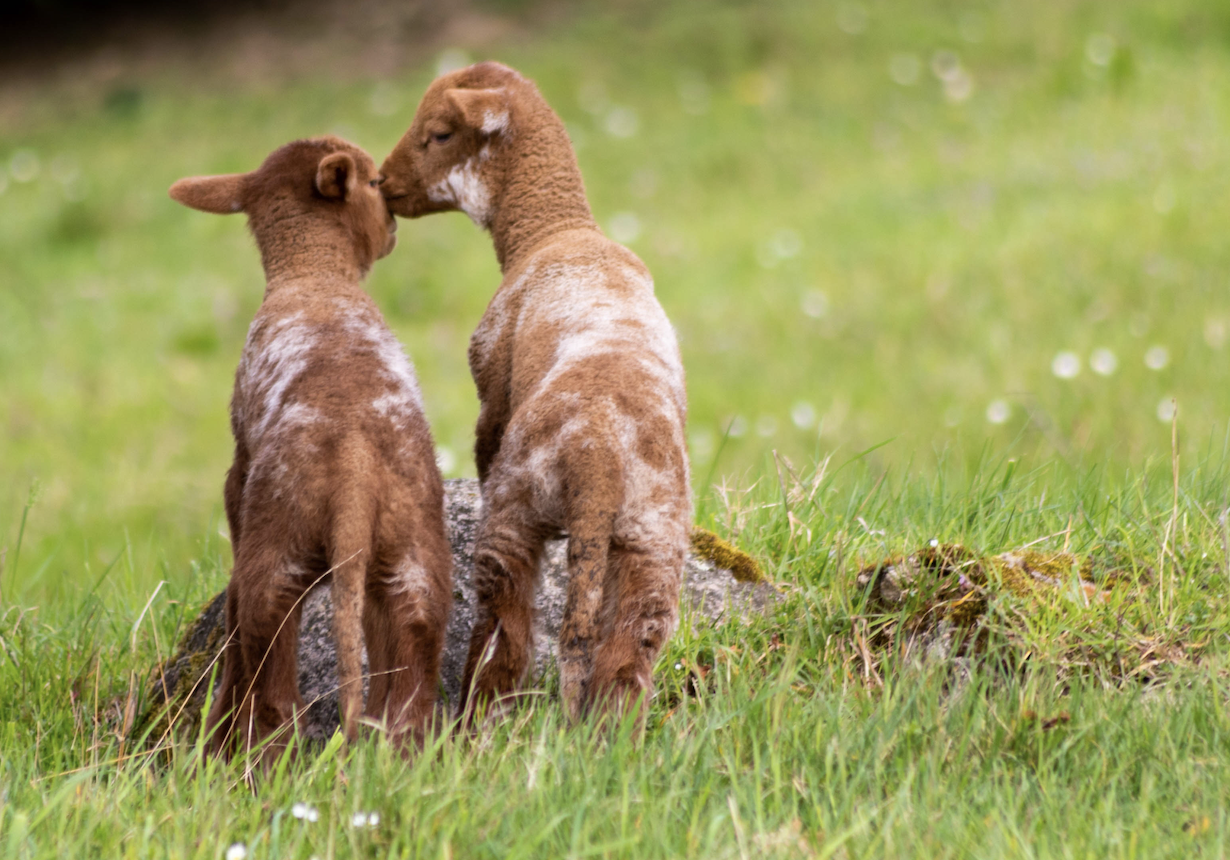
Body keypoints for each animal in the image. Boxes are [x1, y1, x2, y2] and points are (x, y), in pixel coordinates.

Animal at [169, 136, 452, 758]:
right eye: (374, 183)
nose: (394, 225)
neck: (313, 275)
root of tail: (353, 472)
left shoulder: (238, 470)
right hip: (414, 553)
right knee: (405, 697)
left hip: (278, 548)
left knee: (271, 681)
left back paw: (243, 756)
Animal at [380, 62, 691, 723]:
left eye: (438, 133)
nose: (380, 181)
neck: (555, 230)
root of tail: (598, 463)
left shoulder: (492, 383)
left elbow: (482, 436)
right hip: (655, 533)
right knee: (630, 651)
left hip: (519, 504)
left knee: (506, 631)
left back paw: (473, 718)